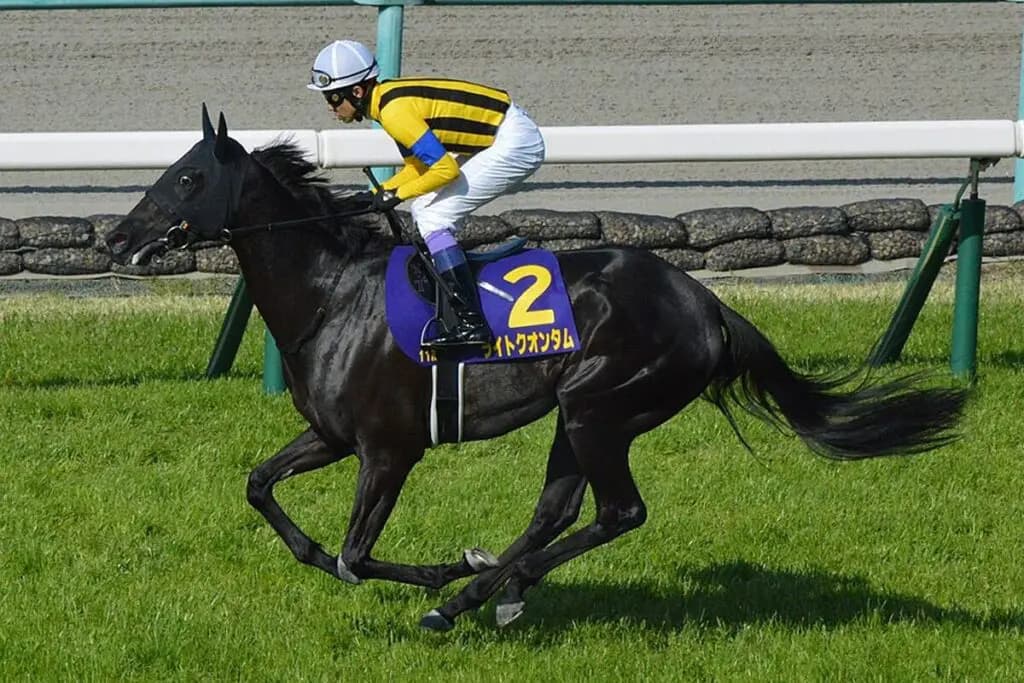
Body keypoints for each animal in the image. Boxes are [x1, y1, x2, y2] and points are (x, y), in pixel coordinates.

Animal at [105, 107, 968, 632]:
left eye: (186, 177)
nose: (116, 237)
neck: (332, 294)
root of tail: (707, 303)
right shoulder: (330, 436)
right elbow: (262, 489)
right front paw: (413, 567)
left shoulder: (390, 447)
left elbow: (356, 552)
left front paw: (442, 569)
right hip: (580, 413)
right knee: (560, 509)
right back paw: (498, 587)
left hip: (601, 406)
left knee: (618, 511)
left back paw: (471, 592)